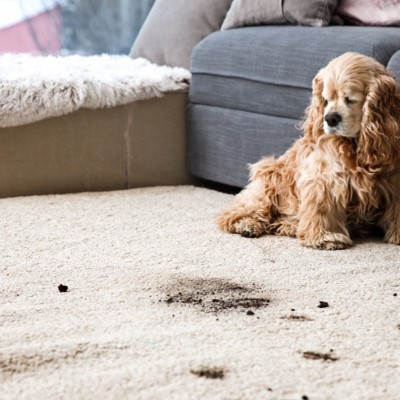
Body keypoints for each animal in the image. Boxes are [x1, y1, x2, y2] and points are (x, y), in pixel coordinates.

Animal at [217, 51, 400, 248]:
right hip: (269, 181)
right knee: (235, 212)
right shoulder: (324, 177)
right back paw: (247, 225)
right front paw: (325, 237)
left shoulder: (394, 180)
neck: (356, 144)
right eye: (326, 99)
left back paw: (289, 226)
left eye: (350, 100)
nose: (330, 118)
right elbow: (323, 207)